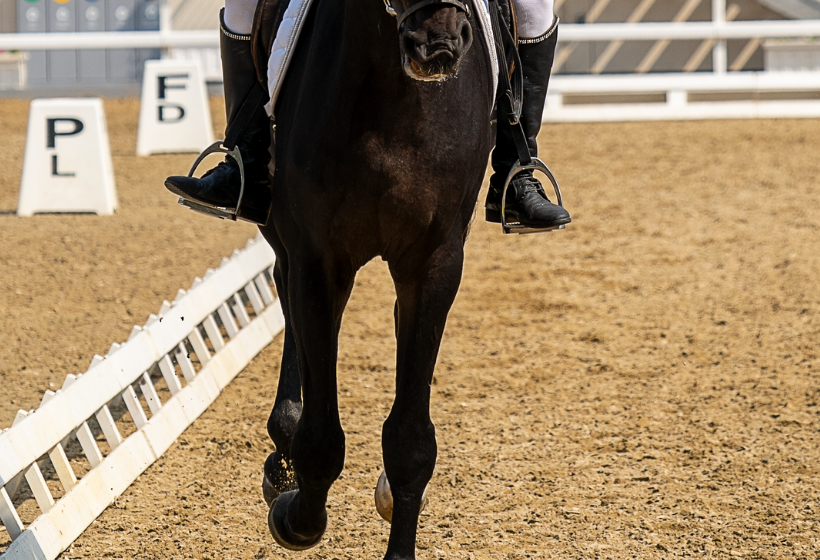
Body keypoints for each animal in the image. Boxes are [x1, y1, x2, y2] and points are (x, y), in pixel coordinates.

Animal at [256, 0, 496, 556]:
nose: (437, 47)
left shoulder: (433, 263)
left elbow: (411, 439)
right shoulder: (319, 259)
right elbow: (322, 436)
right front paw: (295, 516)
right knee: (287, 297)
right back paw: (285, 447)